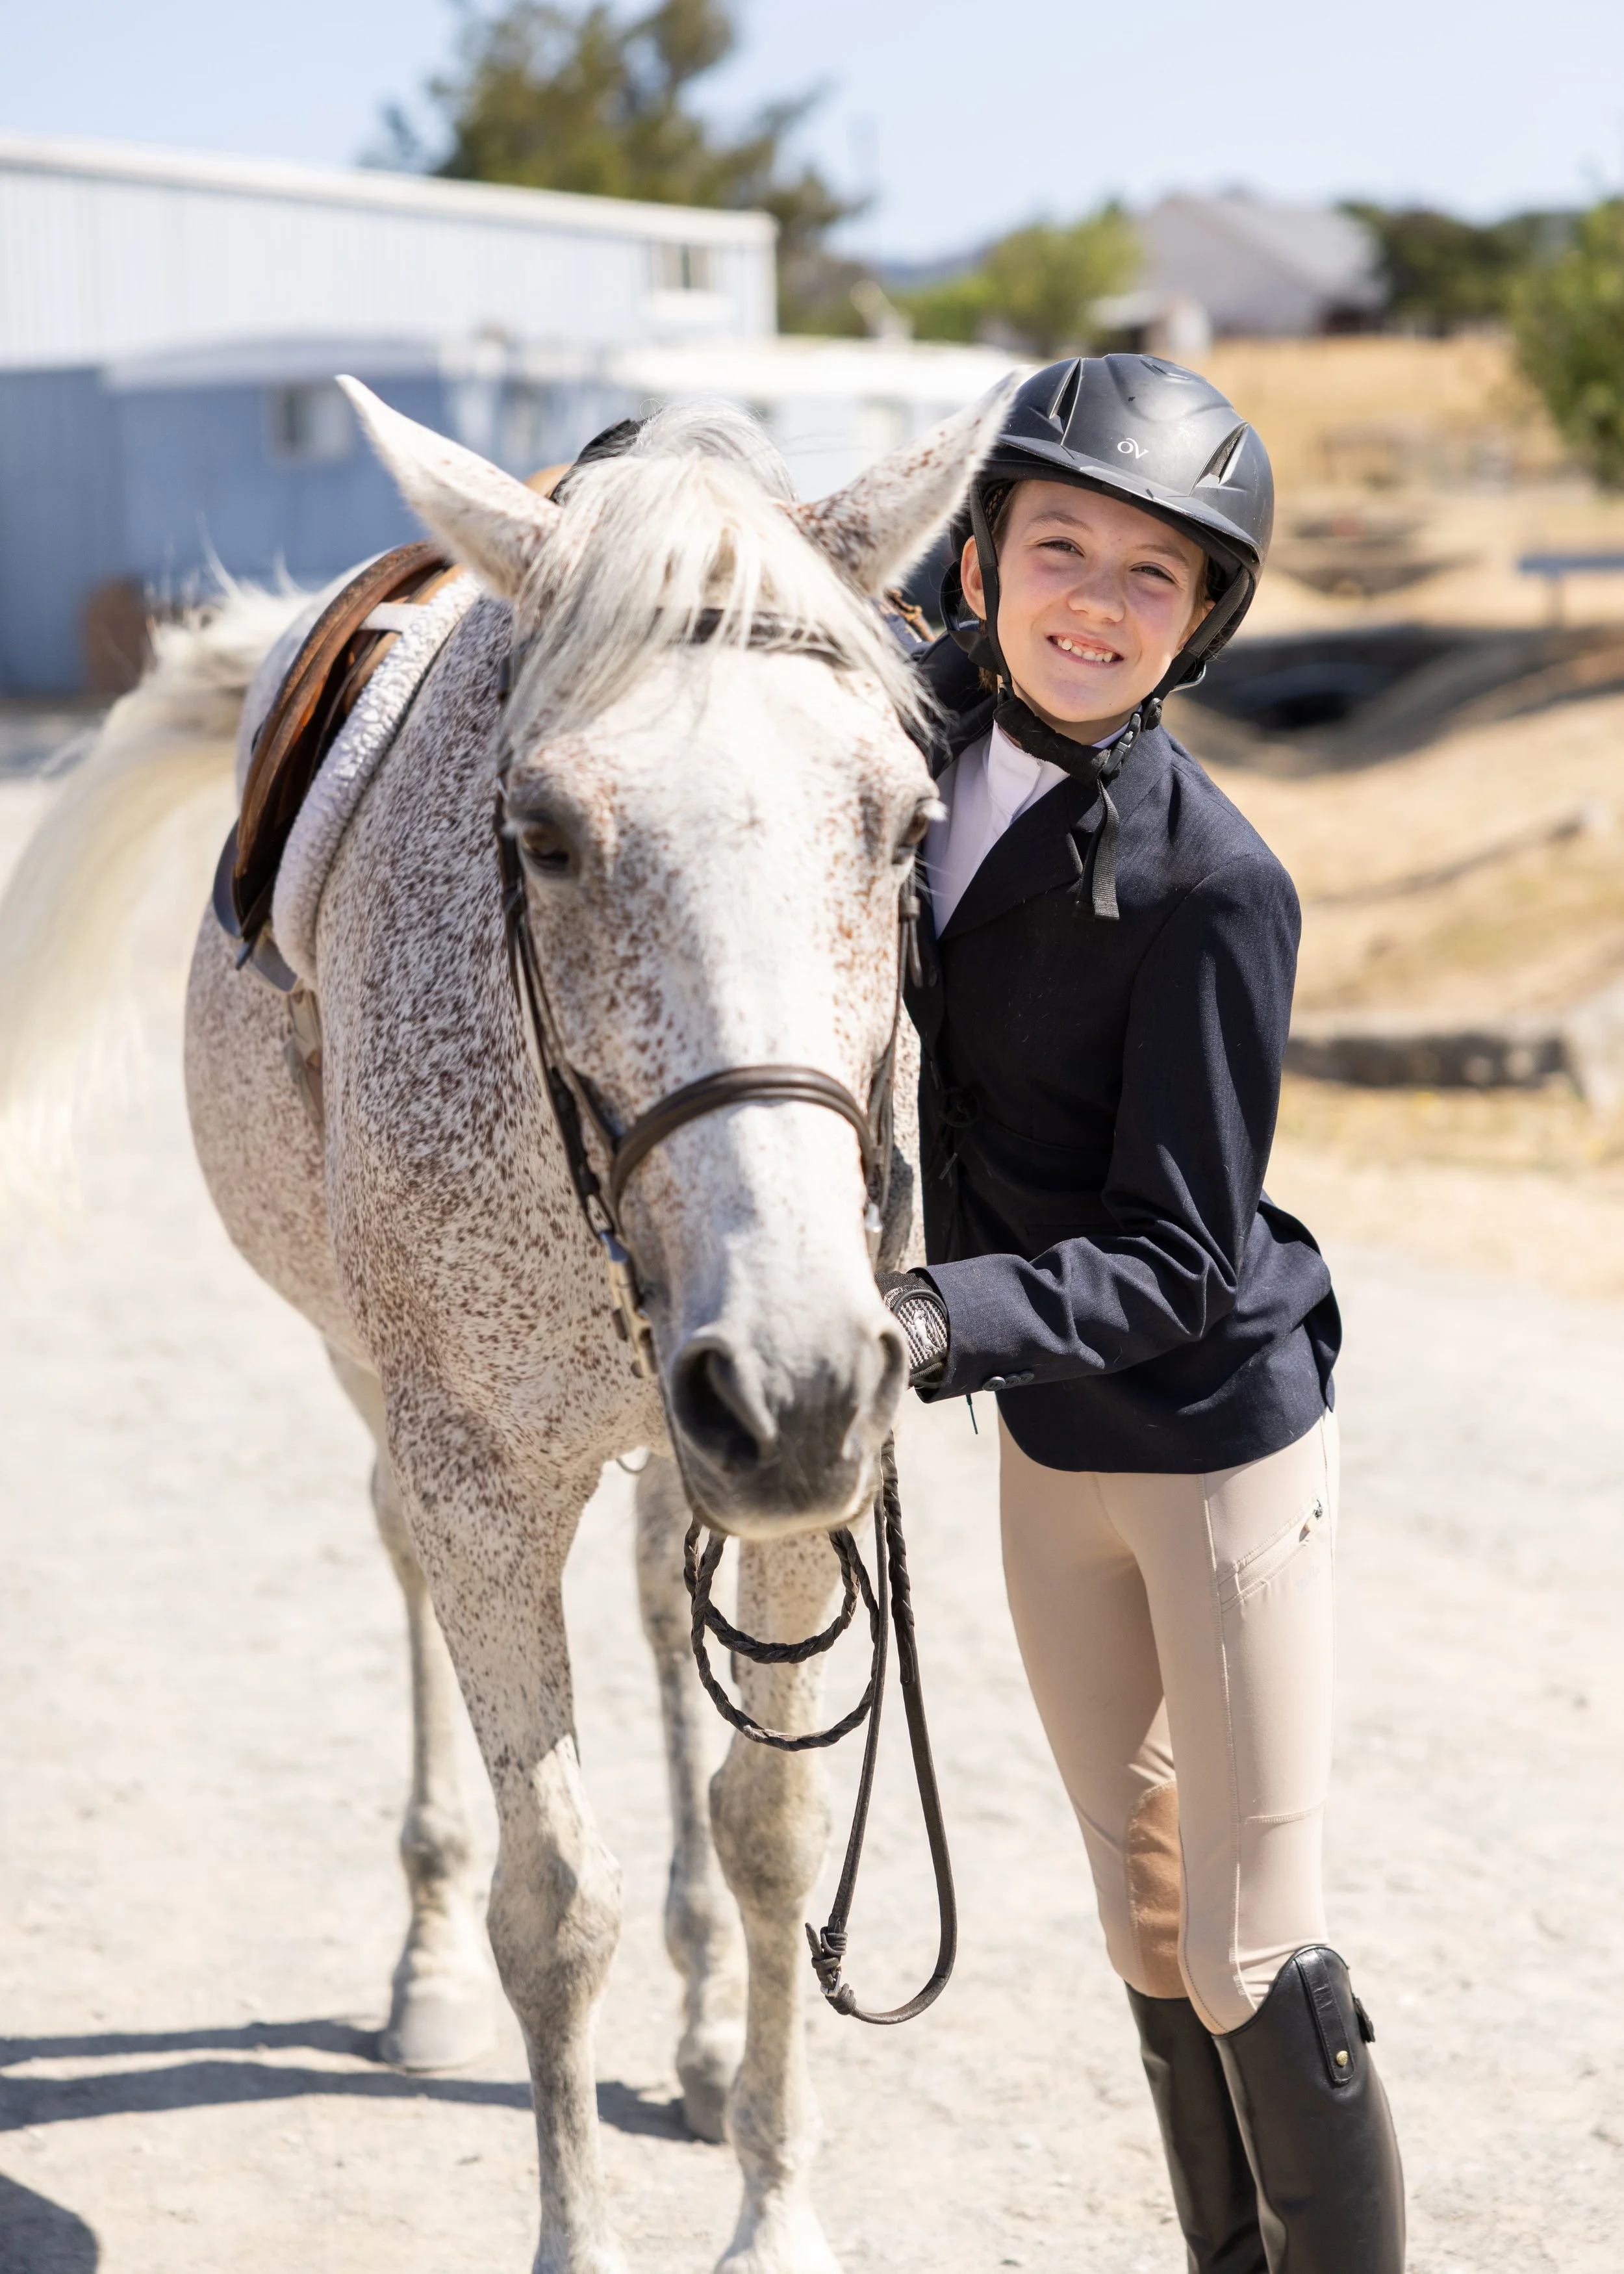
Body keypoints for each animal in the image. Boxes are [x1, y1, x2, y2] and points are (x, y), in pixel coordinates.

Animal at [0, 378, 1009, 2273]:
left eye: (909, 826)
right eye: (538, 836)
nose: (796, 1380)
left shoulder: (795, 1474)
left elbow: (772, 1831)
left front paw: (773, 2202)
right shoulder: (480, 1473)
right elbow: (554, 1907)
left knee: (667, 1622)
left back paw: (702, 2034)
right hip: (383, 1374)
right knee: (397, 1548)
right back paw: (417, 1968)